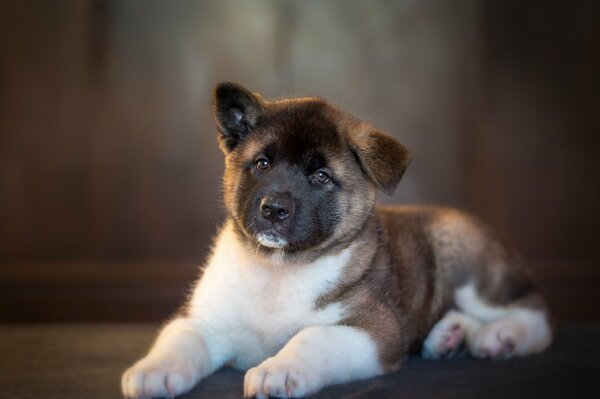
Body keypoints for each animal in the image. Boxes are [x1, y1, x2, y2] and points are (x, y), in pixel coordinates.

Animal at [120, 83, 552, 398]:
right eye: (262, 163)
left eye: (321, 177)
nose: (273, 209)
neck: (279, 271)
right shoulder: (204, 318)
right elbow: (179, 338)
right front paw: (153, 370)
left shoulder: (374, 330)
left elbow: (313, 337)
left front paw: (279, 369)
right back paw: (449, 337)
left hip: (466, 265)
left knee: (537, 314)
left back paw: (499, 337)